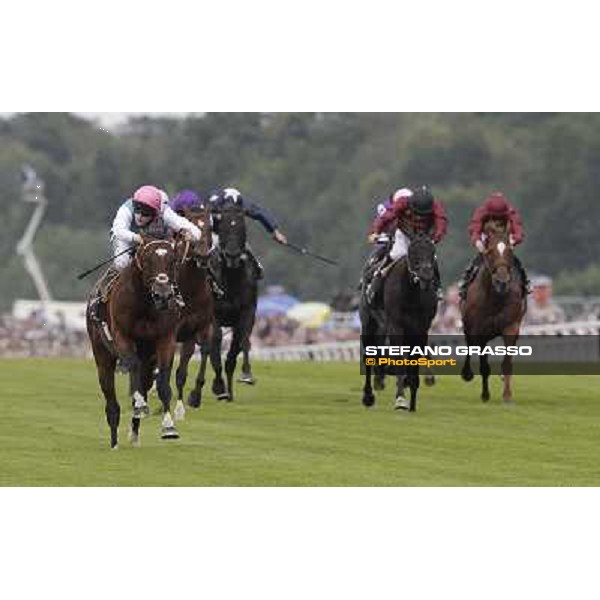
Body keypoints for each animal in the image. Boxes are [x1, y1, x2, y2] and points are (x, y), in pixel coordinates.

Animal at [86, 237, 184, 448]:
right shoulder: (122, 336)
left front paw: (168, 426)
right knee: (111, 399)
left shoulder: (166, 339)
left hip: (148, 360)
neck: (145, 306)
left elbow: (163, 383)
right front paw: (139, 404)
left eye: (173, 260)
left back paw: (134, 434)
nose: (163, 295)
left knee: (144, 382)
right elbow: (132, 365)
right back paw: (114, 442)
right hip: (102, 354)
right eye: (147, 260)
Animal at [358, 233, 438, 412]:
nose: (426, 276)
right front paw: (401, 399)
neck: (412, 294)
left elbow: (414, 361)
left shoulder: (421, 329)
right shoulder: (396, 326)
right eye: (413, 252)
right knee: (368, 356)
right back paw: (368, 396)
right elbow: (399, 360)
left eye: (432, 252)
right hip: (369, 323)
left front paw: (413, 400)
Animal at [460, 227, 524, 406]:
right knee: (469, 346)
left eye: (509, 251)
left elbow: (507, 362)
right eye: (489, 252)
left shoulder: (511, 327)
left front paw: (507, 395)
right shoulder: (479, 330)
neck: (496, 297)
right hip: (468, 327)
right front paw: (485, 395)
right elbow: (483, 366)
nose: (502, 282)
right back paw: (467, 373)